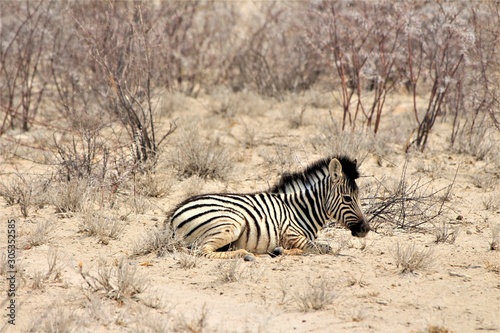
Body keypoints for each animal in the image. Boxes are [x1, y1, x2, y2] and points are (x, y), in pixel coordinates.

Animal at [170, 154, 370, 258]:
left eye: (358, 196)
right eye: (347, 198)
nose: (366, 229)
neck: (301, 210)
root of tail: (172, 216)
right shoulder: (290, 234)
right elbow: (322, 247)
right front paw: (280, 250)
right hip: (231, 222)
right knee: (202, 250)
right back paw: (244, 254)